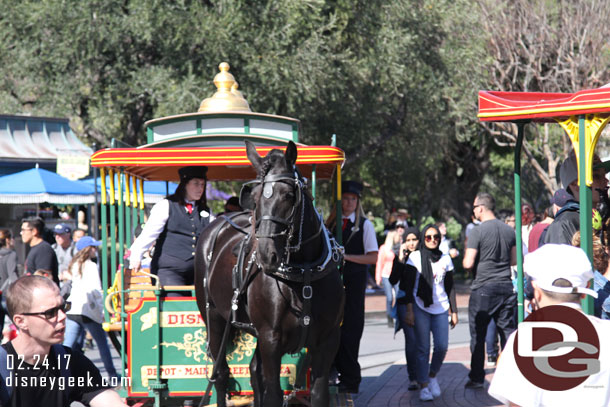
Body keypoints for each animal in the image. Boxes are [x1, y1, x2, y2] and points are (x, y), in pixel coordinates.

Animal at [196, 141, 344, 407]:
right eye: (254, 198)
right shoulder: (270, 339)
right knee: (221, 374)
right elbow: (274, 392)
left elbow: (318, 394)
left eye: (288, 195)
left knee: (254, 371)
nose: (266, 255)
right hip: (215, 319)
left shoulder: (327, 341)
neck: (304, 274)